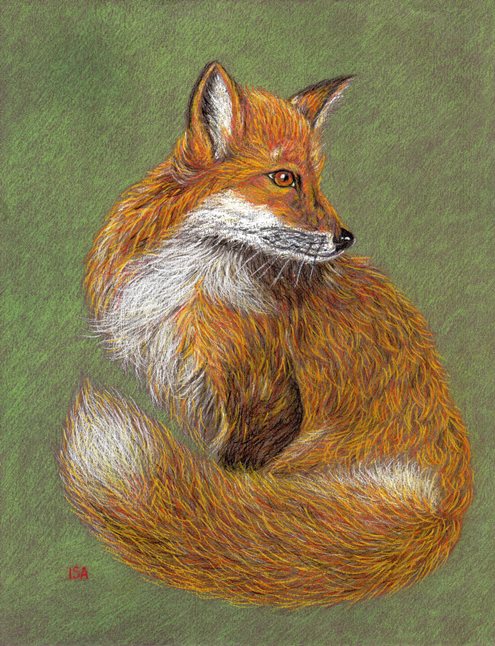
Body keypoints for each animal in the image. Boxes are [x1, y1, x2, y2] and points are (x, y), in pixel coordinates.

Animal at [59, 62, 473, 608]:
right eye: (283, 178)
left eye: (316, 178)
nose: (345, 238)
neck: (189, 282)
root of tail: (444, 507)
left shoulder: (265, 395)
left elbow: (231, 485)